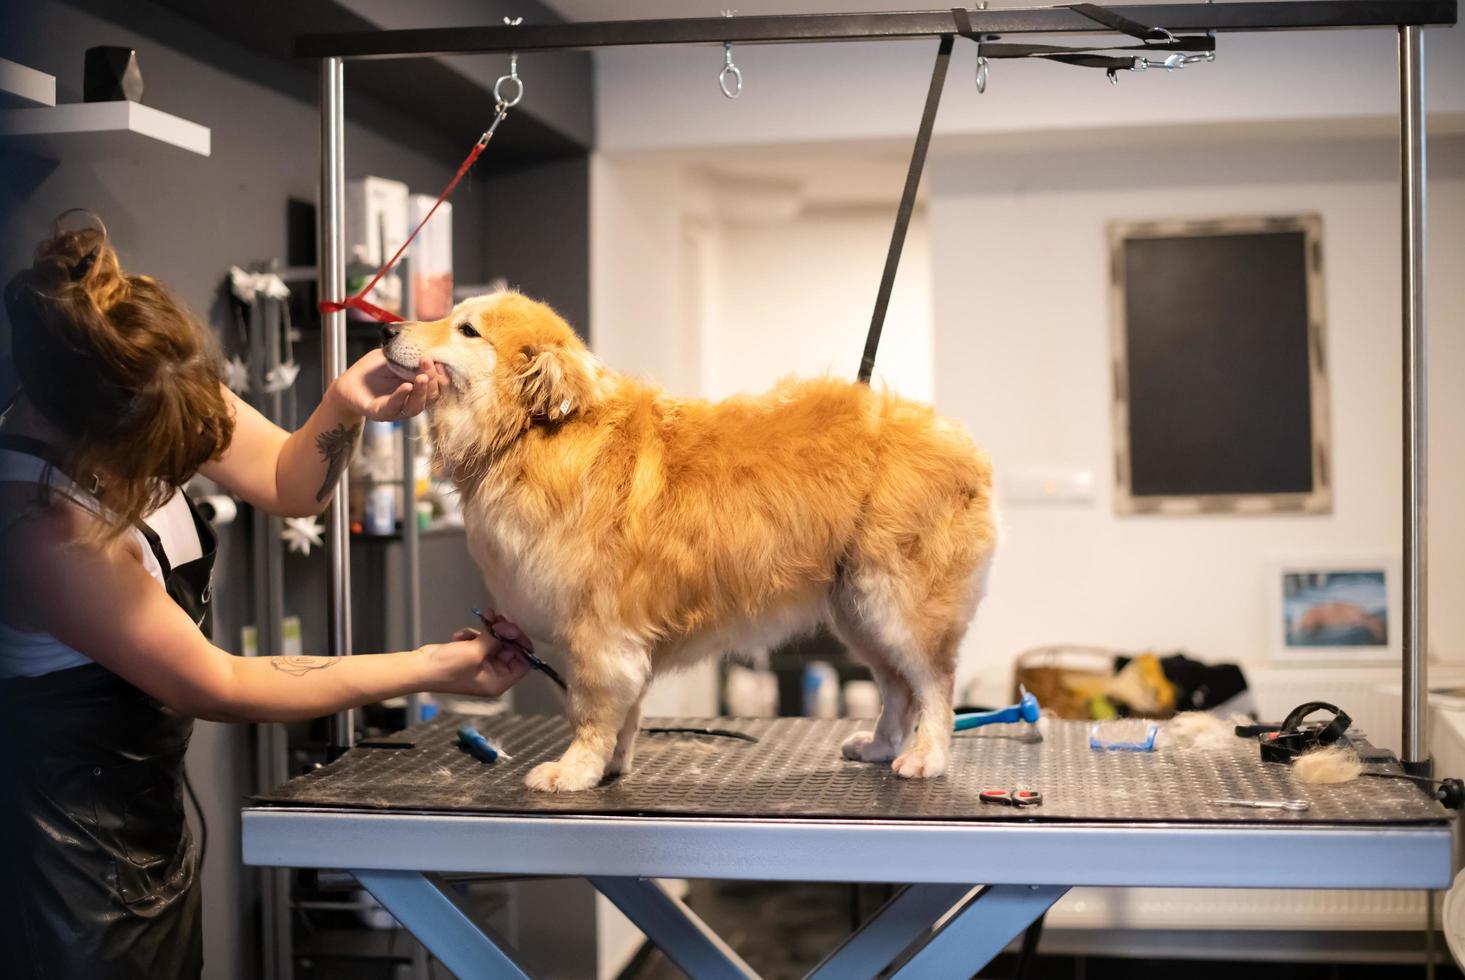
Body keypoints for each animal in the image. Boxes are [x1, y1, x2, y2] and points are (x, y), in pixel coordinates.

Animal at [380, 292, 996, 796]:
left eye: (467, 330)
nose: (385, 331)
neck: (531, 435)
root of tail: (964, 445)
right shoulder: (623, 640)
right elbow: (625, 713)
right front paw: (612, 766)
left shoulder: (599, 634)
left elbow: (590, 712)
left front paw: (574, 771)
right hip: (858, 608)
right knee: (897, 688)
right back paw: (880, 745)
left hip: (898, 602)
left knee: (934, 686)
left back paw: (927, 757)